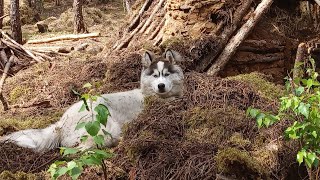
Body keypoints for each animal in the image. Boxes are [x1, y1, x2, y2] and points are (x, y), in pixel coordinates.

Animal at [0, 48, 184, 152]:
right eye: (155, 76)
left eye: (166, 74)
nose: (161, 86)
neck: (149, 95)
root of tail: (60, 123)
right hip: (106, 126)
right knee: (80, 150)